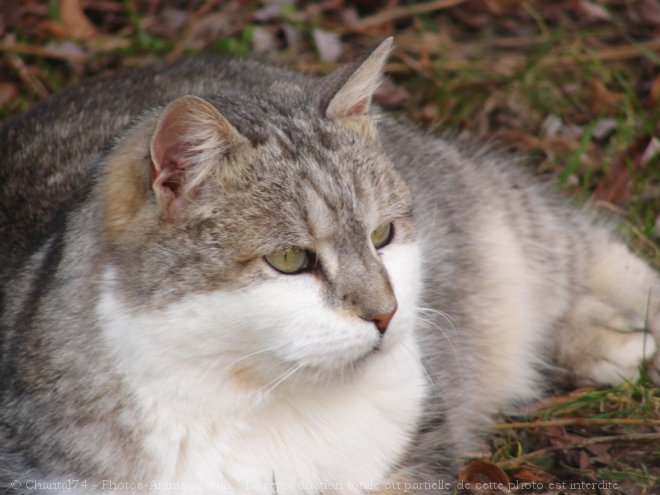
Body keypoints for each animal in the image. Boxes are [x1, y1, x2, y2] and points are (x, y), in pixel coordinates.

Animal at [0, 36, 656, 494]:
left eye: (383, 235)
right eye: (290, 260)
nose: (387, 314)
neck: (263, 403)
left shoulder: (416, 449)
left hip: (506, 216)